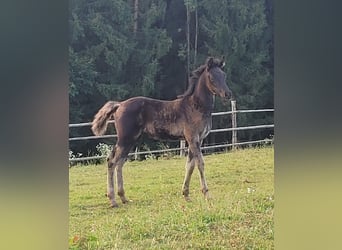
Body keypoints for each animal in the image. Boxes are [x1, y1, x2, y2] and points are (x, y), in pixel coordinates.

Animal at [91, 56, 232, 207]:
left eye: (224, 75)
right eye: (211, 77)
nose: (227, 94)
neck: (195, 106)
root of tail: (119, 105)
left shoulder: (196, 140)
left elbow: (190, 166)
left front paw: (186, 195)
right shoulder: (193, 138)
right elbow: (200, 164)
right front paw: (207, 194)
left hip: (131, 140)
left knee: (119, 163)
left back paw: (123, 197)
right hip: (125, 139)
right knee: (112, 161)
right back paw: (113, 200)